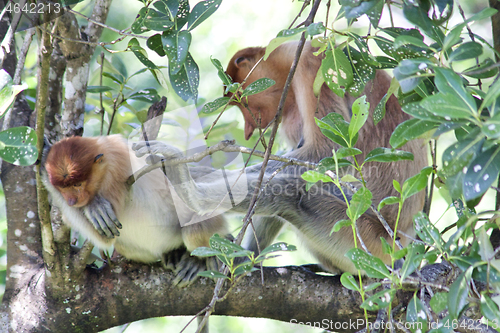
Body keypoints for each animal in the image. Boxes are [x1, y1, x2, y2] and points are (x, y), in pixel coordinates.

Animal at [42, 135, 229, 282]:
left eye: (77, 184)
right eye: (63, 188)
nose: (71, 201)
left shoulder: (116, 170)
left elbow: (104, 238)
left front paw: (94, 208)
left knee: (193, 230)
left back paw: (197, 261)